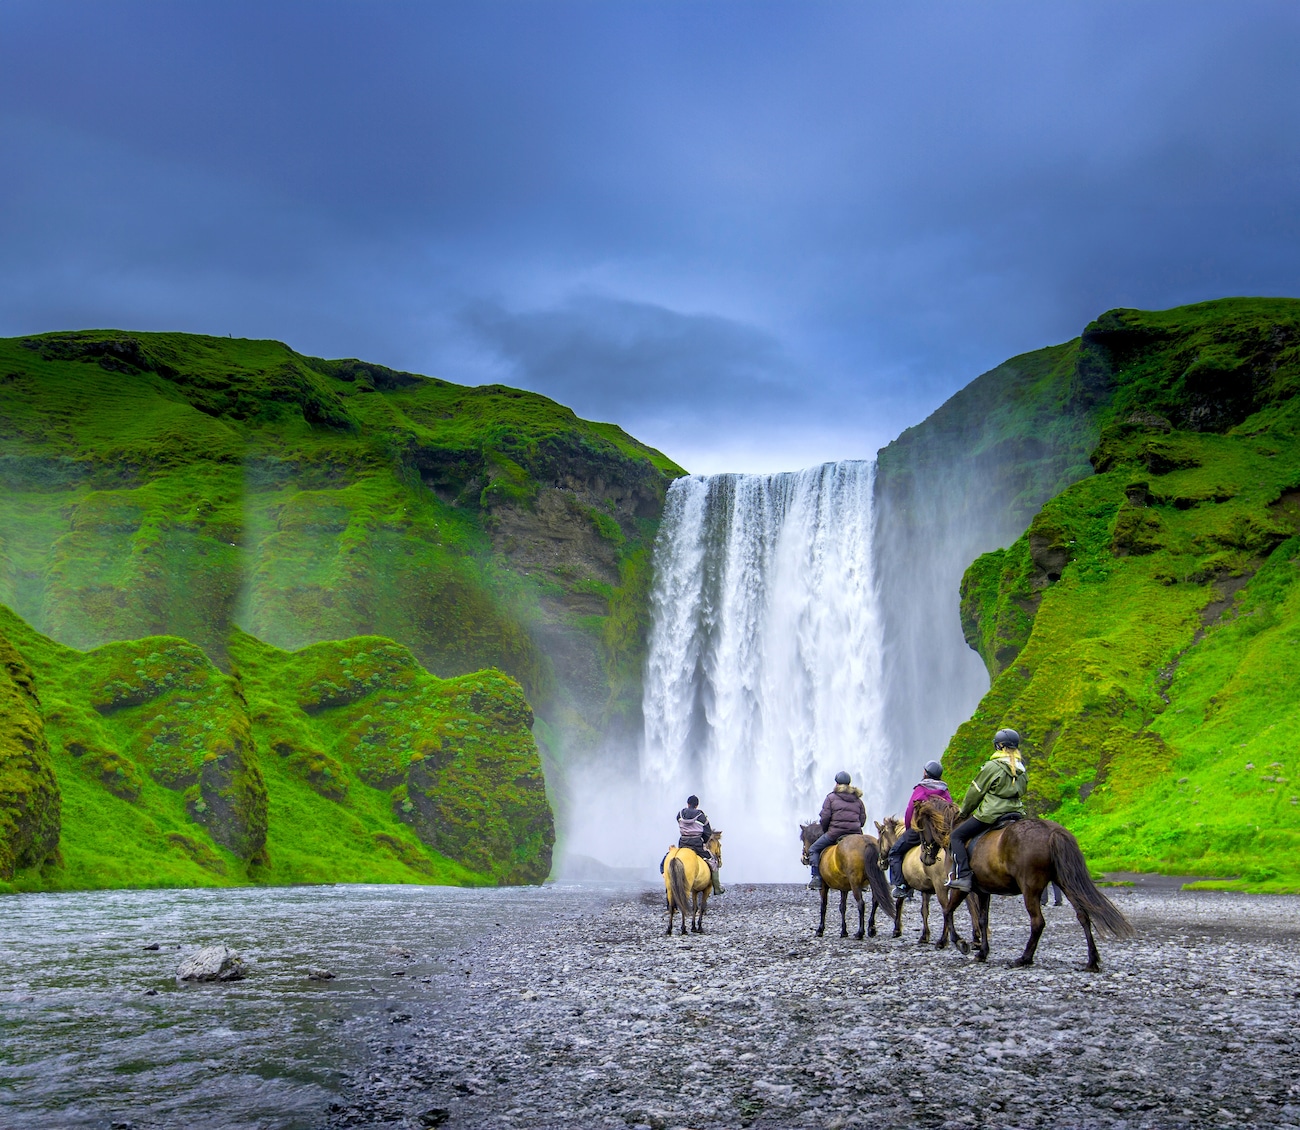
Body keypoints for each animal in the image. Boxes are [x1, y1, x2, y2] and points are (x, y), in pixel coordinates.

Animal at [873, 811, 977, 951]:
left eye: (879, 840)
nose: (880, 863)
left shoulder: (906, 886)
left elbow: (899, 903)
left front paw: (897, 929)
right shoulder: (925, 889)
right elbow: (924, 911)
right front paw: (924, 936)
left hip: (941, 888)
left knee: (947, 910)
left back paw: (943, 941)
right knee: (972, 909)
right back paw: (976, 939)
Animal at [909, 801, 1133, 967]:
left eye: (919, 829)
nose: (924, 859)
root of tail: (1052, 831)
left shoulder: (960, 887)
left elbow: (948, 911)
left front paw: (958, 943)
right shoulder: (983, 891)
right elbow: (982, 920)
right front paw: (982, 952)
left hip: (1030, 889)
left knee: (1038, 922)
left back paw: (1024, 958)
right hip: (1065, 883)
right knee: (1083, 915)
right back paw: (1092, 960)